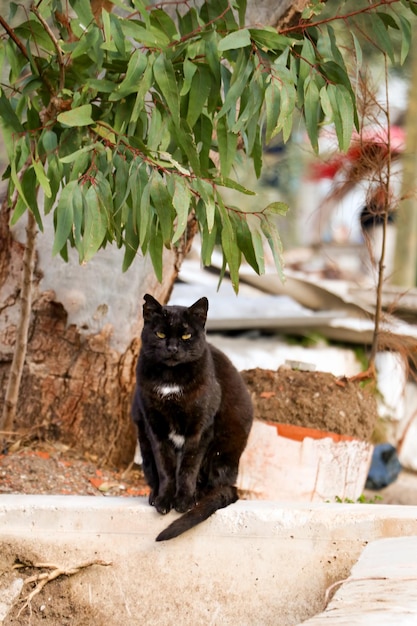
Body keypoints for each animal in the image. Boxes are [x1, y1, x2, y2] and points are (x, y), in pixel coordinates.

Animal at [132, 294, 252, 540]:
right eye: (160, 334)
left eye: (186, 335)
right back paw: (153, 495)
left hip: (223, 451)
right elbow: (166, 468)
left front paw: (184, 501)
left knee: (216, 484)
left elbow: (188, 467)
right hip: (144, 443)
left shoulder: (199, 429)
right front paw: (164, 500)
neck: (170, 380)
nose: (172, 348)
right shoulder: (155, 428)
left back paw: (200, 495)